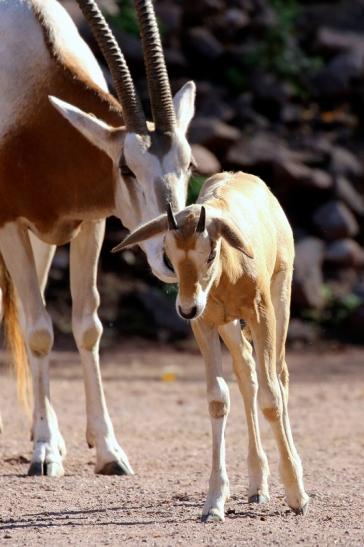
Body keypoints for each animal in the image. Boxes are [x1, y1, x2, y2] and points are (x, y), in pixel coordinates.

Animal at [114, 172, 310, 524]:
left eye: (210, 252)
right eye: (170, 253)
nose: (186, 307)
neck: (229, 269)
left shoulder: (261, 314)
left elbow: (271, 397)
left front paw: (297, 496)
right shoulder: (204, 324)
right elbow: (218, 399)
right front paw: (214, 503)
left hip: (281, 295)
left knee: (279, 375)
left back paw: (292, 474)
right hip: (228, 325)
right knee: (247, 371)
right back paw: (257, 485)